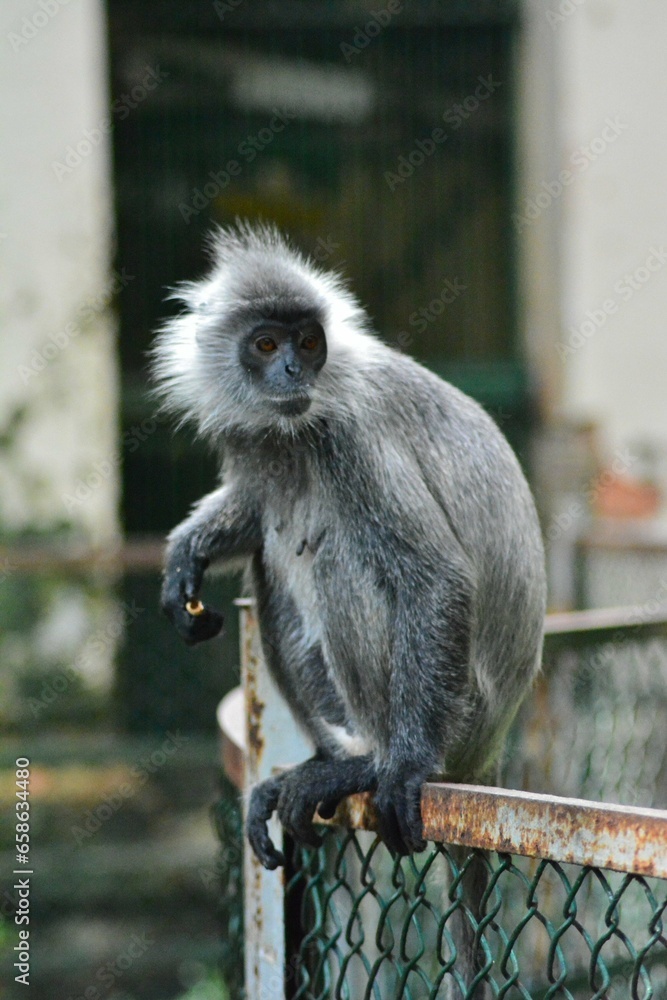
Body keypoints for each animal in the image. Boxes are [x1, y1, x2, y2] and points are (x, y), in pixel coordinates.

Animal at [152, 222, 547, 875]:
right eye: (266, 344)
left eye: (309, 342)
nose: (294, 371)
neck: (295, 432)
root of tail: (488, 750)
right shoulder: (255, 438)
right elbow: (253, 515)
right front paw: (187, 554)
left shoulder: (352, 432)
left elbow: (436, 577)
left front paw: (405, 770)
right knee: (269, 562)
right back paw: (330, 759)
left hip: (464, 714)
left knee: (341, 559)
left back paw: (368, 764)